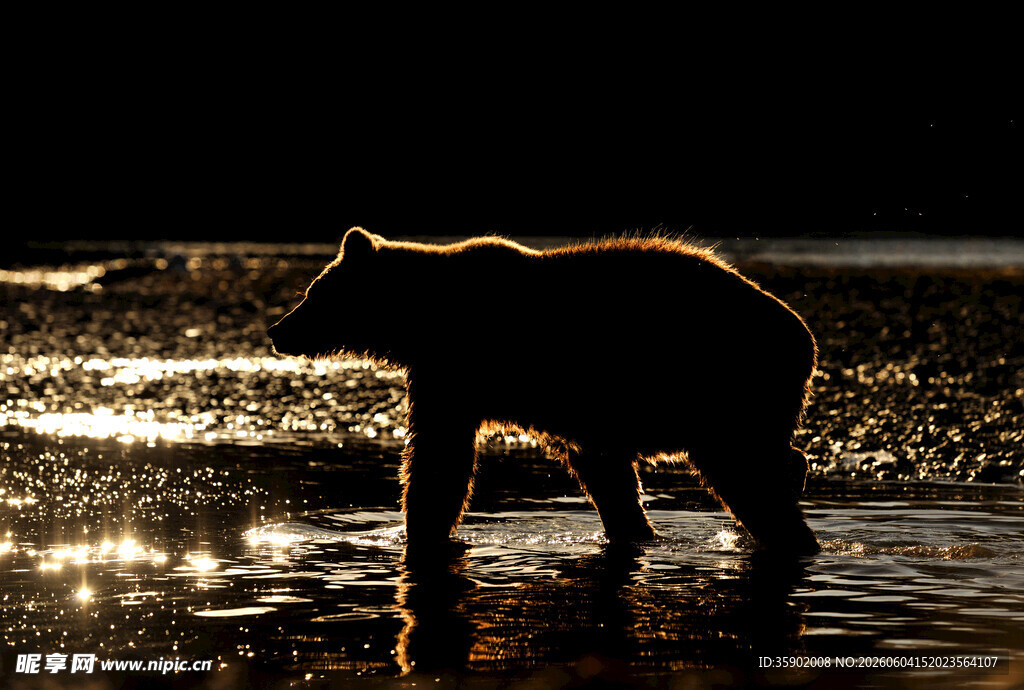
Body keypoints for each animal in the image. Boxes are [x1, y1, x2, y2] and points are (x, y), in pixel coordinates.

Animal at [268, 228, 820, 555]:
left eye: (313, 292)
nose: (278, 330)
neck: (420, 318)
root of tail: (805, 337)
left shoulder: (455, 369)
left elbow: (439, 456)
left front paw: (418, 527)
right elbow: (604, 472)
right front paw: (633, 528)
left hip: (723, 385)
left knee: (745, 472)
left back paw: (792, 532)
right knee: (771, 458)